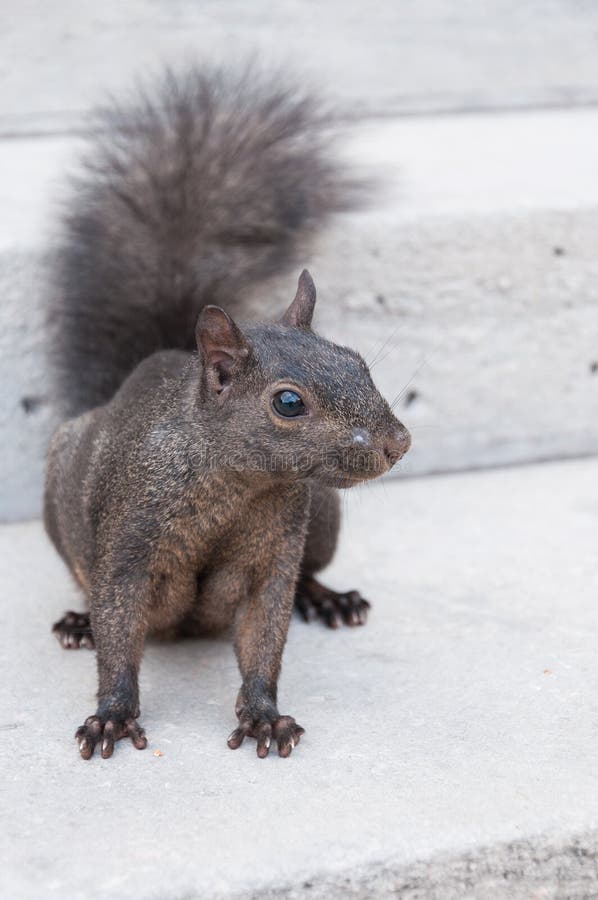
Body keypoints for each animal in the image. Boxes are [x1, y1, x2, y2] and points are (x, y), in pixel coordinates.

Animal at [43, 63, 412, 760]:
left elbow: (265, 635)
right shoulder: (130, 540)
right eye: (288, 402)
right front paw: (111, 712)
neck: (237, 484)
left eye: (356, 360)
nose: (397, 443)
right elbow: (119, 632)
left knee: (310, 575)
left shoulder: (276, 555)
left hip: (324, 516)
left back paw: (327, 599)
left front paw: (265, 714)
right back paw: (77, 618)